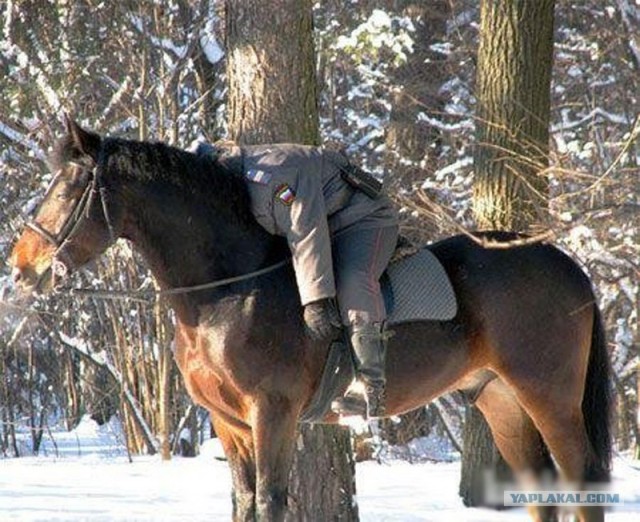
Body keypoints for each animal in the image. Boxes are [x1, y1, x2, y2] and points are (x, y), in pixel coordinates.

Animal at [10, 118, 608, 520]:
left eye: (68, 188)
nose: (21, 267)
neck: (226, 292)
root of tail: (565, 263)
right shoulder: (229, 424)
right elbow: (246, 500)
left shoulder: (271, 413)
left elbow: (271, 502)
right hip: (501, 399)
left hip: (549, 394)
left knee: (580, 477)